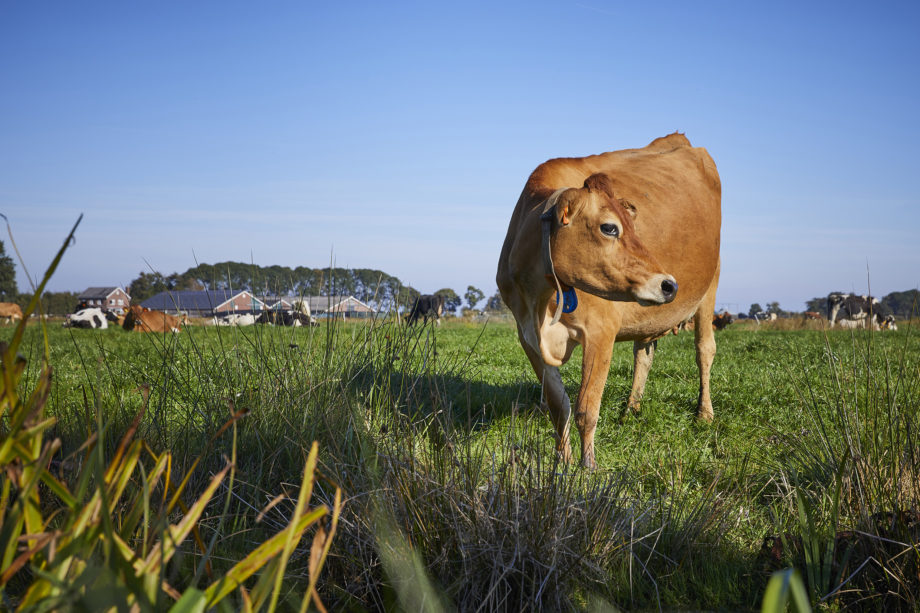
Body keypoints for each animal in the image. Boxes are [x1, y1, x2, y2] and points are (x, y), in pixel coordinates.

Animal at [496, 134, 720, 468]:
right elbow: (557, 406)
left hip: (710, 286)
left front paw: (588, 467)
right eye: (609, 227)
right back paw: (631, 410)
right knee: (644, 353)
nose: (668, 285)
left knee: (704, 350)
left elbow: (586, 409)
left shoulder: (600, 332)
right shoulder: (527, 337)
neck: (541, 301)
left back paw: (704, 414)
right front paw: (563, 463)